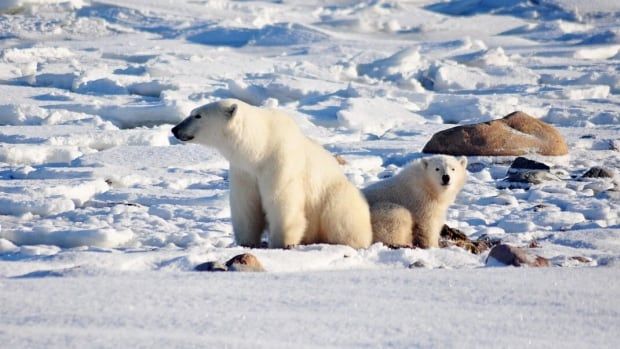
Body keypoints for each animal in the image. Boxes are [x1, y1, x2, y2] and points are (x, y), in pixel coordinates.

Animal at [172, 99, 370, 249]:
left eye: (198, 115)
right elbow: (246, 205)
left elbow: (281, 201)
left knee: (341, 218)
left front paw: (282, 243)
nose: (175, 129)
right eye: (192, 112)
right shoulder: (244, 170)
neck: (261, 147)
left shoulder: (279, 162)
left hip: (335, 197)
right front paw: (246, 242)